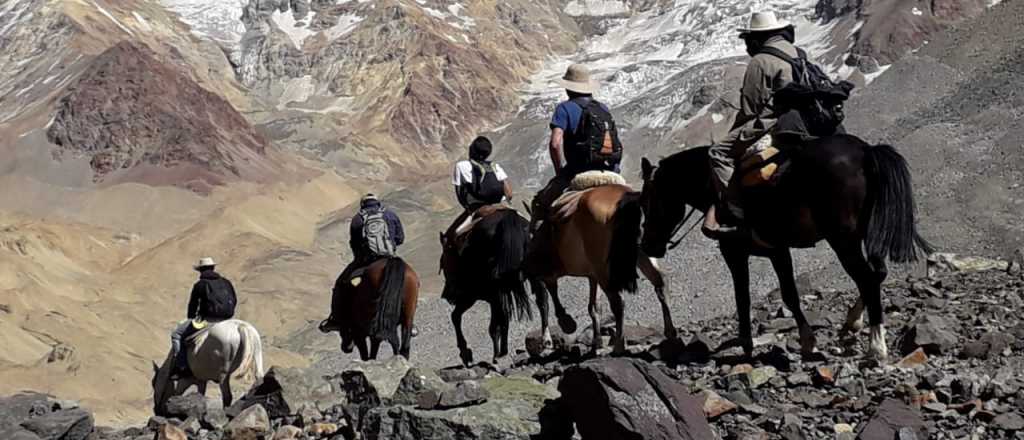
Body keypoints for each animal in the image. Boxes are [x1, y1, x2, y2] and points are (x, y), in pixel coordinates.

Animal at [440, 207, 536, 366]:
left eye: (443, 264)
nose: (447, 296)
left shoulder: (476, 296)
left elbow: (458, 317)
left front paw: (467, 352)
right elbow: (503, 322)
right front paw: (502, 352)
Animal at [528, 184, 679, 356]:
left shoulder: (546, 275)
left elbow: (546, 299)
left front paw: (561, 326)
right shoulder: (592, 275)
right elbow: (593, 307)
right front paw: (596, 341)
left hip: (605, 270)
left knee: (618, 302)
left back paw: (619, 346)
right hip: (642, 253)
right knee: (660, 282)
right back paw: (670, 332)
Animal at [643, 135, 933, 360]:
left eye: (649, 201)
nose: (649, 247)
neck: (712, 189)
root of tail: (865, 151)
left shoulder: (735, 253)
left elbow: (746, 297)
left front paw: (752, 346)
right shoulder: (777, 250)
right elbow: (789, 294)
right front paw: (808, 341)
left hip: (843, 240)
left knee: (868, 278)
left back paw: (876, 347)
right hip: (867, 234)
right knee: (878, 273)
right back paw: (851, 323)